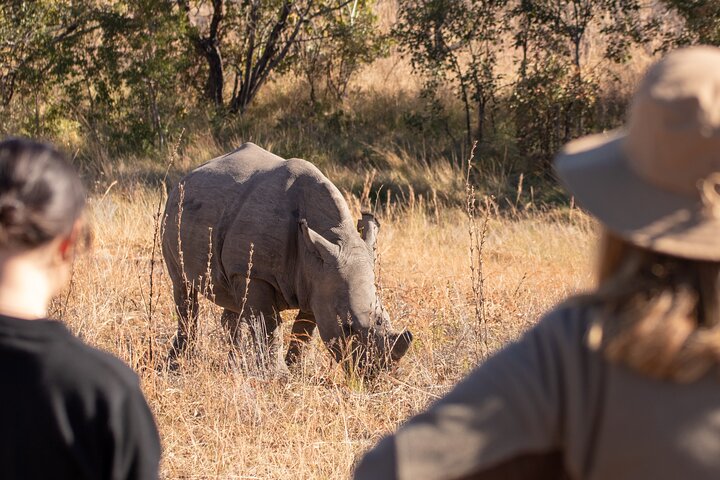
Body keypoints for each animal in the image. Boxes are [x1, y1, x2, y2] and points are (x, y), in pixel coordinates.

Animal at [162, 143, 412, 375]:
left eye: (384, 318)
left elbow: (304, 331)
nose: (378, 373)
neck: (336, 235)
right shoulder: (256, 274)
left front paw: (296, 370)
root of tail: (188, 174)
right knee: (183, 290)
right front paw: (278, 376)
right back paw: (177, 364)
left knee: (231, 299)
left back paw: (233, 365)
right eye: (348, 328)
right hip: (172, 210)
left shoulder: (319, 280)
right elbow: (269, 325)